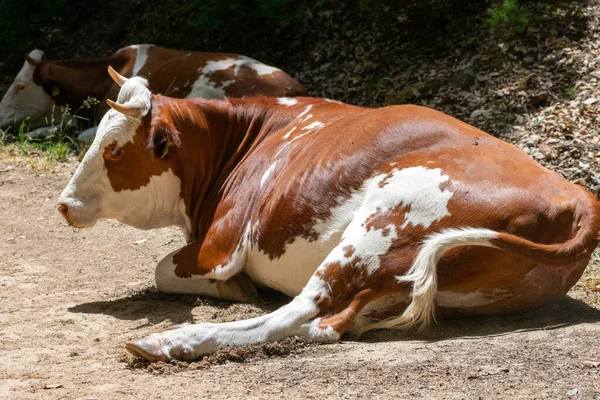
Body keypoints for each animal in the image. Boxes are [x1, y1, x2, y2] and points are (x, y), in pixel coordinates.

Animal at [57, 69, 600, 362]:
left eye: (115, 150)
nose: (63, 203)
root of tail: (577, 196)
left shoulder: (219, 245)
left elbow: (164, 267)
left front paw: (231, 289)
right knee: (329, 322)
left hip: (383, 223)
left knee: (304, 313)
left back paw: (168, 342)